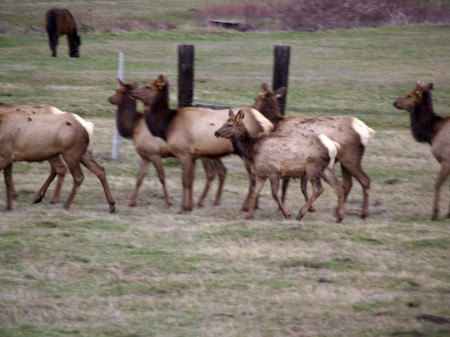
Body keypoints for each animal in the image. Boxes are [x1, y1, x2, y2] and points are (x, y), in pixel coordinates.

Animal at [108, 79, 227, 207]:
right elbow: (139, 178)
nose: (110, 98)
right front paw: (132, 202)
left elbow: (162, 177)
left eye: (119, 90)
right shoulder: (145, 156)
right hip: (213, 152)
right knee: (222, 170)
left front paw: (168, 201)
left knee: (211, 173)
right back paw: (215, 200)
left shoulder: (154, 153)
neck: (133, 128)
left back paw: (201, 201)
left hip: (204, 154)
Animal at [128, 73, 272, 213]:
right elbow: (191, 180)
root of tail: (267, 124)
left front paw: (183, 207)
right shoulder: (193, 156)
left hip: (246, 153)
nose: (132, 91)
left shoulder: (184, 153)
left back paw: (245, 207)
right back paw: (253, 206)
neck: (167, 126)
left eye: (148, 87)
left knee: (253, 179)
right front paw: (189, 205)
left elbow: (185, 181)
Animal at [214, 109, 344, 222]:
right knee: (338, 187)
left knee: (319, 189)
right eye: (224, 122)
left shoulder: (273, 171)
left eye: (230, 124)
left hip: (312, 168)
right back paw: (339, 217)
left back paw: (300, 214)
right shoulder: (261, 174)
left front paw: (287, 214)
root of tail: (333, 146)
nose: (216, 132)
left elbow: (274, 194)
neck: (253, 151)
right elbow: (255, 192)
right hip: (326, 169)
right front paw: (248, 215)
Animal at [253, 82, 376, 217]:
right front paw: (310, 208)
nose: (252, 109)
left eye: (256, 98)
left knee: (365, 180)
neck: (276, 124)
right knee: (348, 184)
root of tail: (367, 131)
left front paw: (284, 209)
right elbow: (303, 187)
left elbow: (288, 186)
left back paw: (364, 212)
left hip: (351, 158)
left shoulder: (288, 161)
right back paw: (339, 211)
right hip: (344, 161)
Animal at [394, 80, 450, 218]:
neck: (432, 133)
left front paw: (435, 213)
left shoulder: (446, 159)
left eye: (409, 95)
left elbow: (438, 184)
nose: (395, 102)